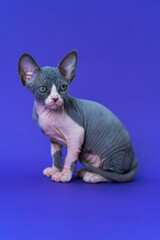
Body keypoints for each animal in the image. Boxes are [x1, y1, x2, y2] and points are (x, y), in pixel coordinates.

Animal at [17, 49, 138, 183]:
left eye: (63, 87)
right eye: (43, 89)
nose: (55, 99)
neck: (48, 113)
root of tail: (134, 161)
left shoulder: (76, 134)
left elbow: (70, 158)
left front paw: (64, 175)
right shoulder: (53, 138)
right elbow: (55, 155)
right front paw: (55, 169)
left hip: (112, 152)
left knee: (114, 175)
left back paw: (93, 176)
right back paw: (85, 171)